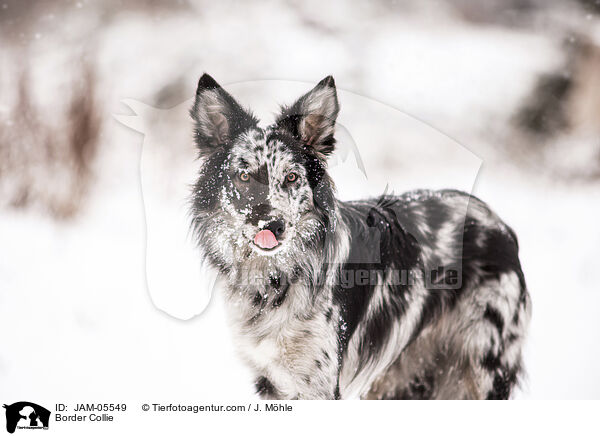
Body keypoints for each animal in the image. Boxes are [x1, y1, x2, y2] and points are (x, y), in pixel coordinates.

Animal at [189, 74, 528, 398]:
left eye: (292, 177)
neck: (276, 279)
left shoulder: (318, 384)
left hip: (484, 367)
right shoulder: (272, 379)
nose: (272, 225)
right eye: (244, 176)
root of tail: (500, 225)